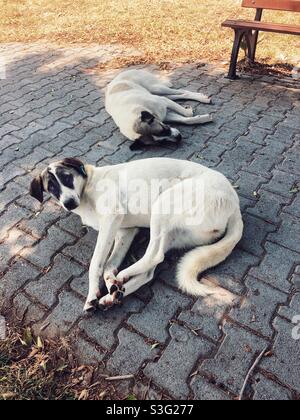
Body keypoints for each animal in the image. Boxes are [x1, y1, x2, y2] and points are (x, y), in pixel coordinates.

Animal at [29, 158, 244, 312]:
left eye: (66, 177)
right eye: (51, 187)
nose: (69, 203)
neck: (88, 185)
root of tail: (234, 203)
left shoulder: (111, 218)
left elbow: (96, 263)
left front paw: (92, 295)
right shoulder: (125, 231)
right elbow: (109, 264)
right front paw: (110, 284)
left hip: (163, 202)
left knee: (155, 255)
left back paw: (122, 278)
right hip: (172, 232)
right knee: (150, 269)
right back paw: (115, 293)